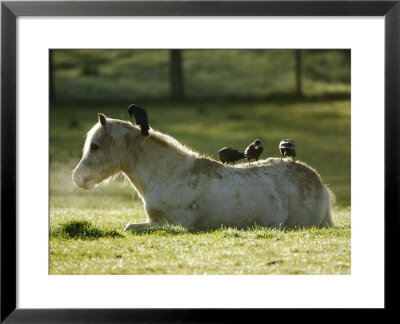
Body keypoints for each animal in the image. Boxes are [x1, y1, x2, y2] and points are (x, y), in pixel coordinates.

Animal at [72, 114, 334, 230]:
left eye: (95, 147)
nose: (78, 178)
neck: (169, 176)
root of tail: (318, 181)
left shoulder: (176, 225)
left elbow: (128, 227)